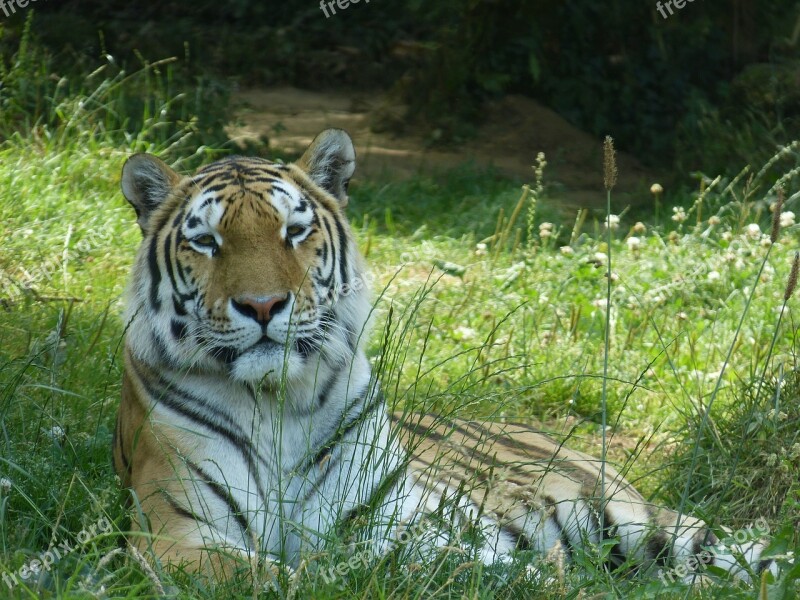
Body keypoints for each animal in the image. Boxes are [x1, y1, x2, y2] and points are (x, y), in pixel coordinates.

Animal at [111, 129, 776, 588]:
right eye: (206, 241)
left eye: (294, 232)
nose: (264, 305)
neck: (278, 402)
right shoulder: (173, 534)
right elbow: (281, 575)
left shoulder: (391, 521)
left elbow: (423, 560)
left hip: (644, 523)